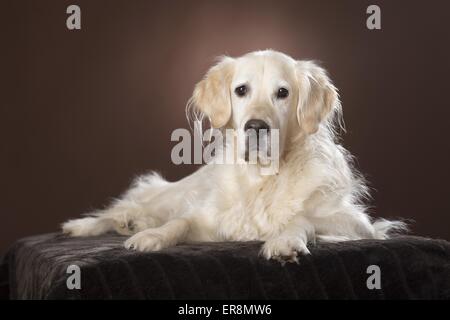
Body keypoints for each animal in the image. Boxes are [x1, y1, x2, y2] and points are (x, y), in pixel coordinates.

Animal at [62, 50, 404, 262]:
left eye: (283, 93)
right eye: (241, 90)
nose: (256, 127)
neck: (262, 178)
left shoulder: (357, 224)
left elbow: (302, 217)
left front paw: (285, 241)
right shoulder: (210, 219)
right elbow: (181, 222)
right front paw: (153, 236)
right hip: (174, 194)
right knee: (128, 207)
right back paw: (89, 225)